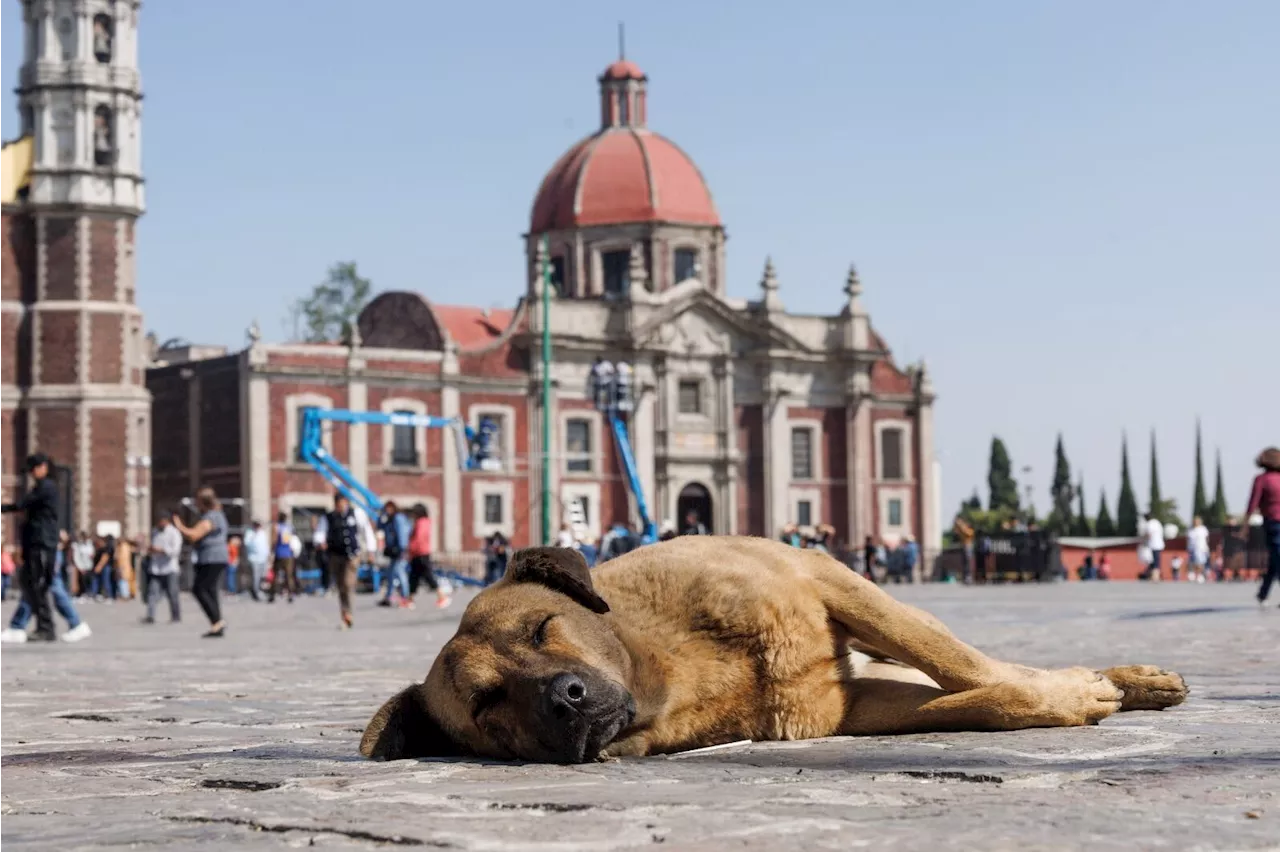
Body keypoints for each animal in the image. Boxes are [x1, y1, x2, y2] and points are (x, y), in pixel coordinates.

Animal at [360, 534, 1187, 757]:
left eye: (541, 628)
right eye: (486, 703)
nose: (565, 700)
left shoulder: (826, 577)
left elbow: (966, 665)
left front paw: (1078, 689)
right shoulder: (846, 704)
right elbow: (976, 699)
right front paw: (1071, 697)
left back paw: (1130, 676)